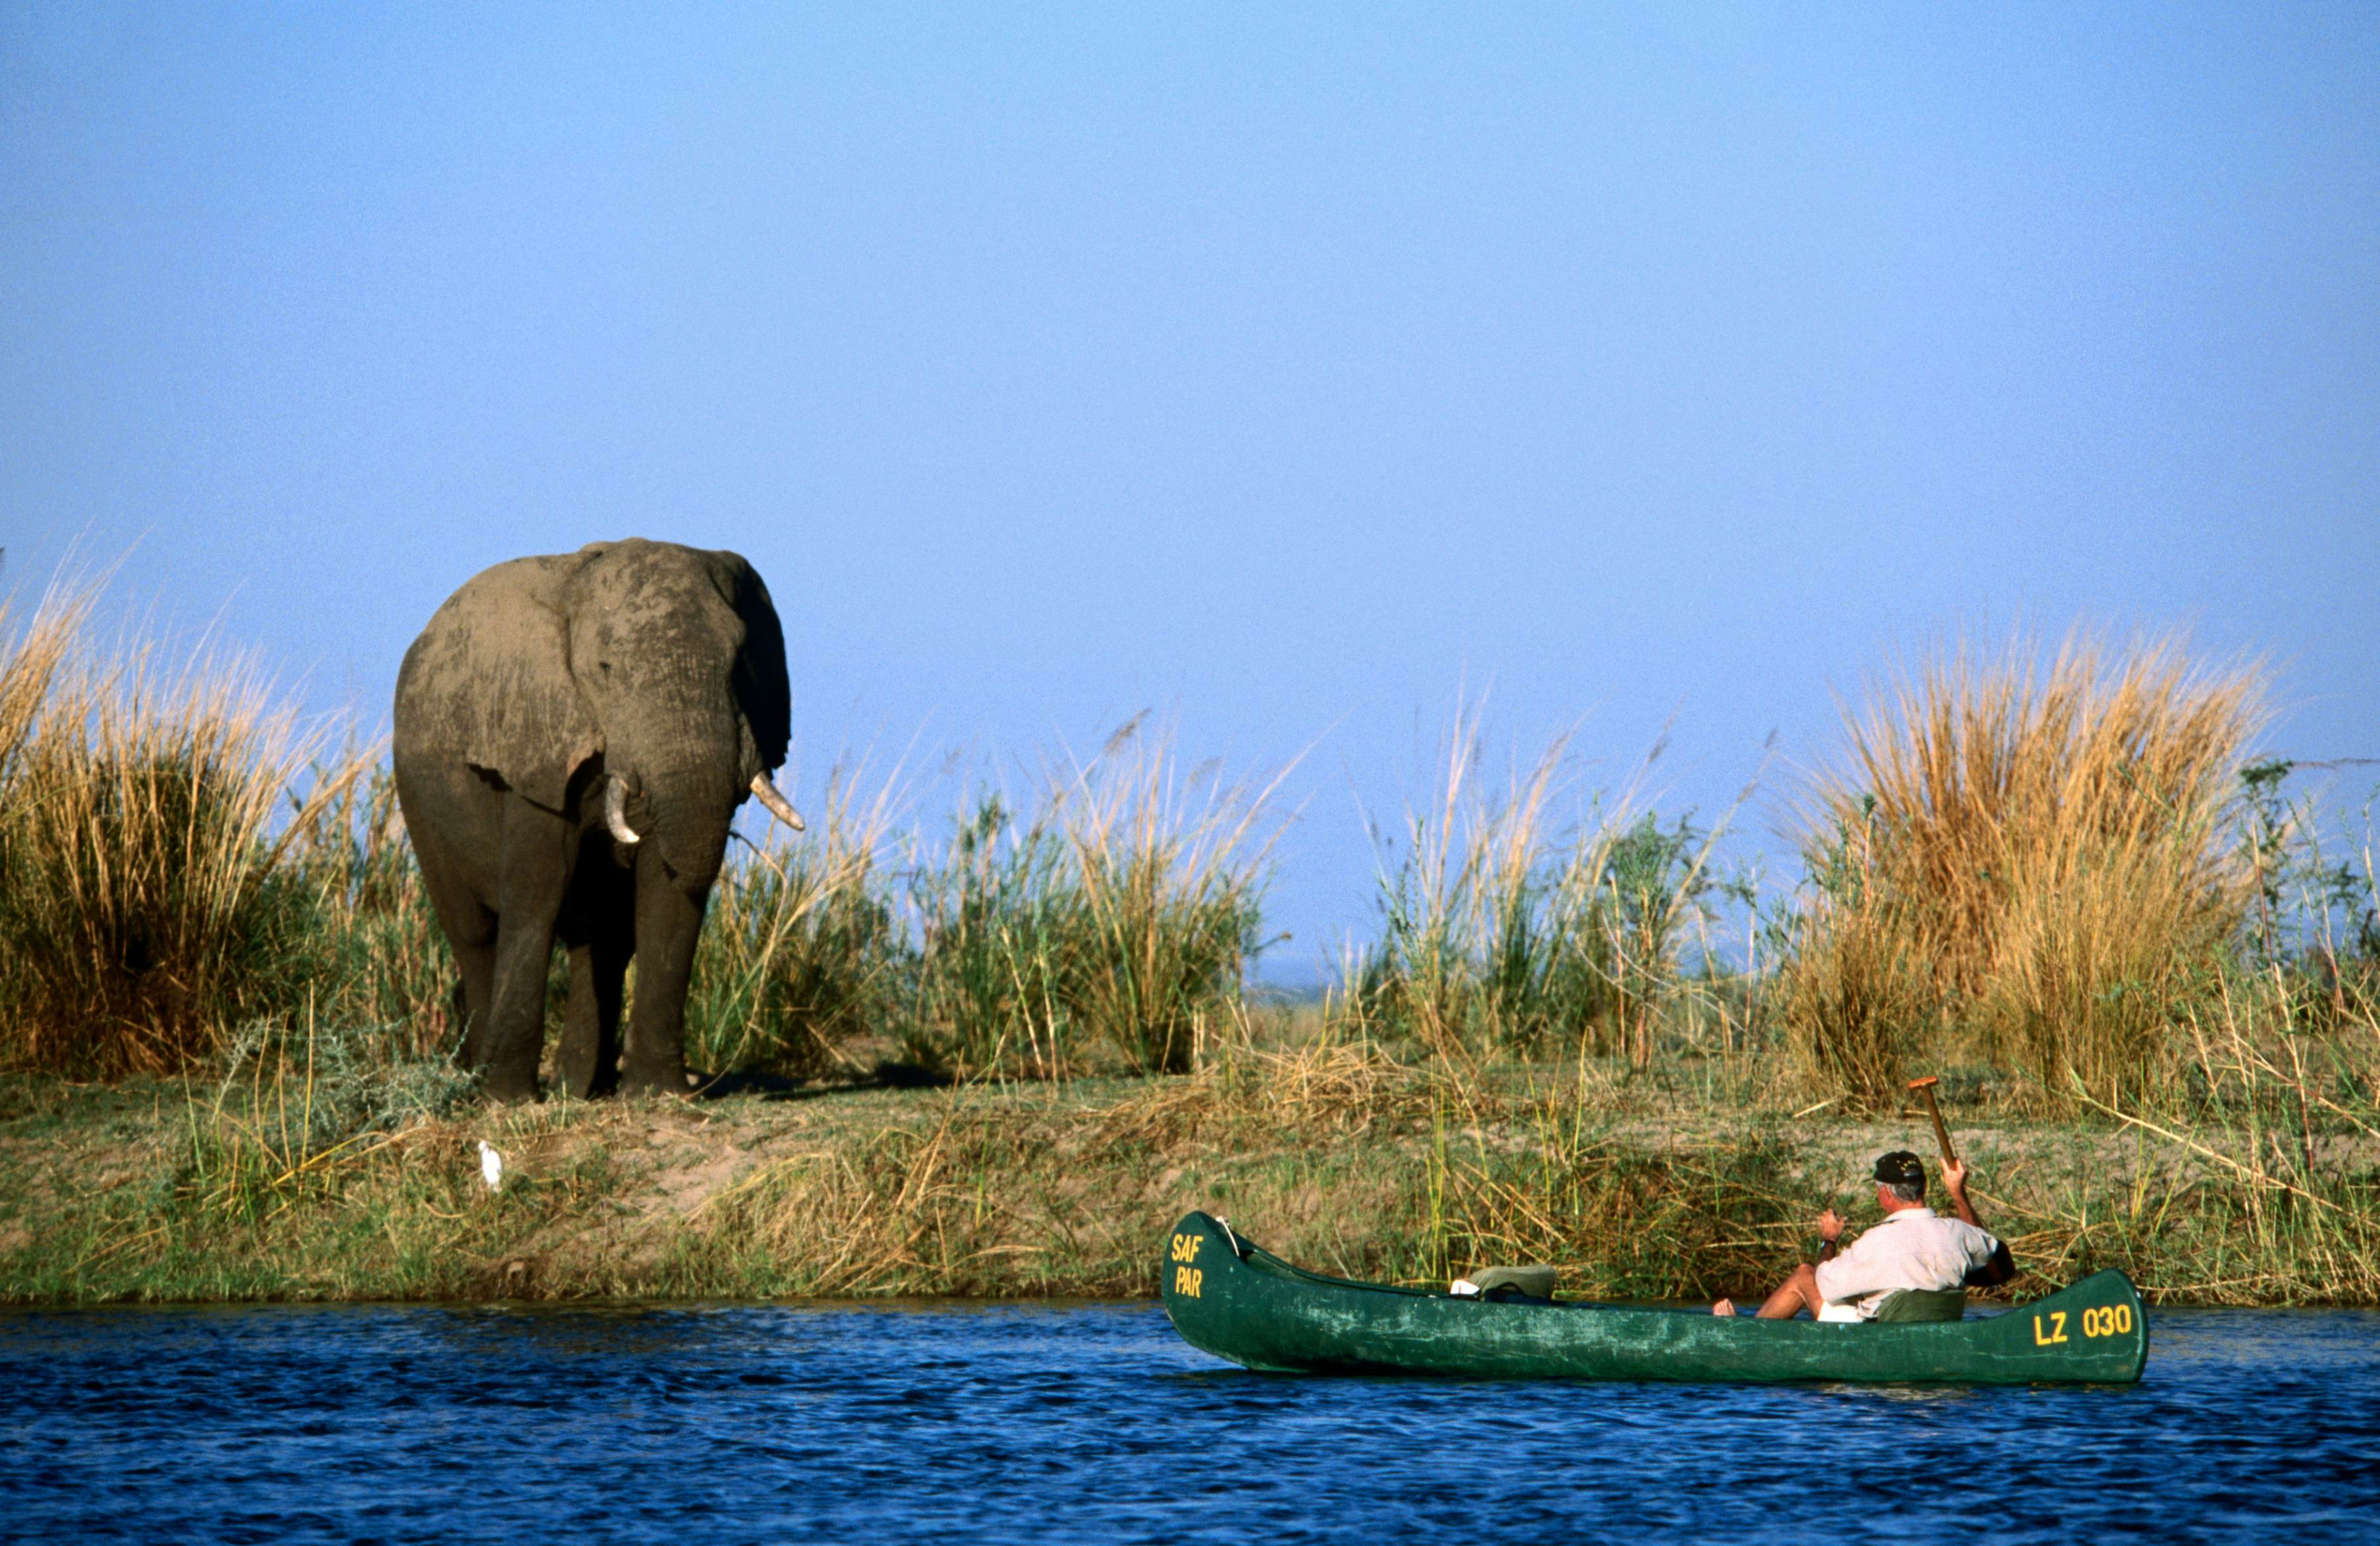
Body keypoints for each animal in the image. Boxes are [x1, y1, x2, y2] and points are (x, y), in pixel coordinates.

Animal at [391, 538, 805, 1101]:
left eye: (741, 663)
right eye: (606, 669)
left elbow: (664, 889)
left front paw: (657, 1093)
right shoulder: (535, 741)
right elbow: (537, 890)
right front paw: (508, 1099)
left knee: (602, 941)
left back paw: (580, 1088)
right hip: (418, 800)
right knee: (473, 934)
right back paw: (486, 1080)